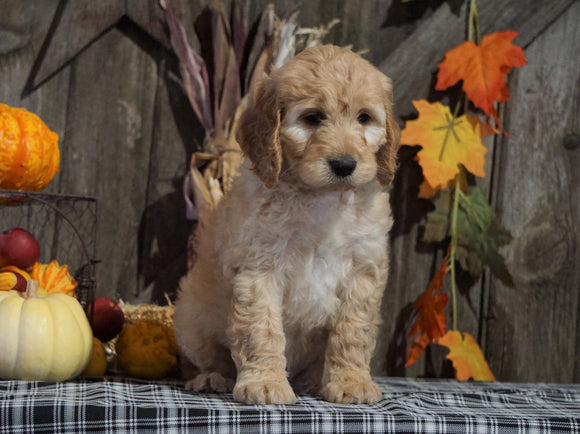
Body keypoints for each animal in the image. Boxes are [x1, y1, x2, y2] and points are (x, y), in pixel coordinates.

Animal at [174, 45, 402, 406]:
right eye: (312, 118)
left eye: (364, 118)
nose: (344, 164)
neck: (320, 197)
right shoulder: (258, 267)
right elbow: (260, 329)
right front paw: (265, 383)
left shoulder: (363, 268)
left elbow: (352, 331)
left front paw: (351, 382)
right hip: (189, 318)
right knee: (206, 357)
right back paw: (212, 377)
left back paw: (311, 381)